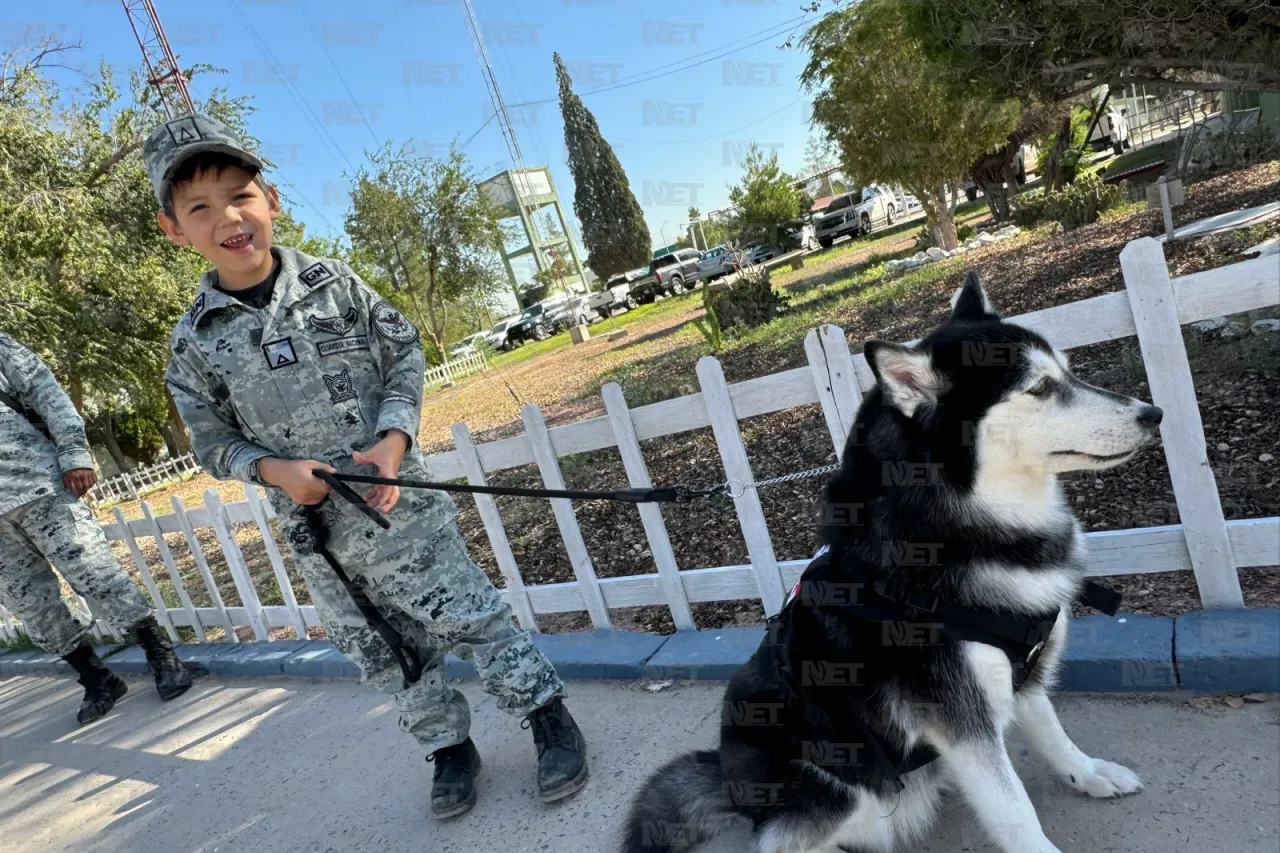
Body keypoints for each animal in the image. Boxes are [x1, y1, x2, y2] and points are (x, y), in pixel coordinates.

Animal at [619, 272, 1162, 850]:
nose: (1153, 414)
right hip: (830, 777)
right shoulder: (960, 720)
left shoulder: (1025, 674)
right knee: (783, 840)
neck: (956, 525)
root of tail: (726, 778)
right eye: (1038, 388)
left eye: (1068, 371)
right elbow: (1014, 811)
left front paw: (1089, 773)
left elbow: (1055, 736)